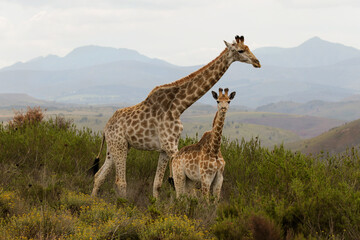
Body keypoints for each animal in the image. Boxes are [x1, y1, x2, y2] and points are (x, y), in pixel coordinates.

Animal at [90, 34, 258, 198]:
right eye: (241, 51)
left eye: (248, 47)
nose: (257, 62)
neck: (178, 106)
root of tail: (105, 128)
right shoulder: (171, 146)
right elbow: (184, 188)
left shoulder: (165, 149)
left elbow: (157, 184)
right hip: (120, 146)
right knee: (120, 182)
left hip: (114, 148)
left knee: (99, 176)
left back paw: (93, 200)